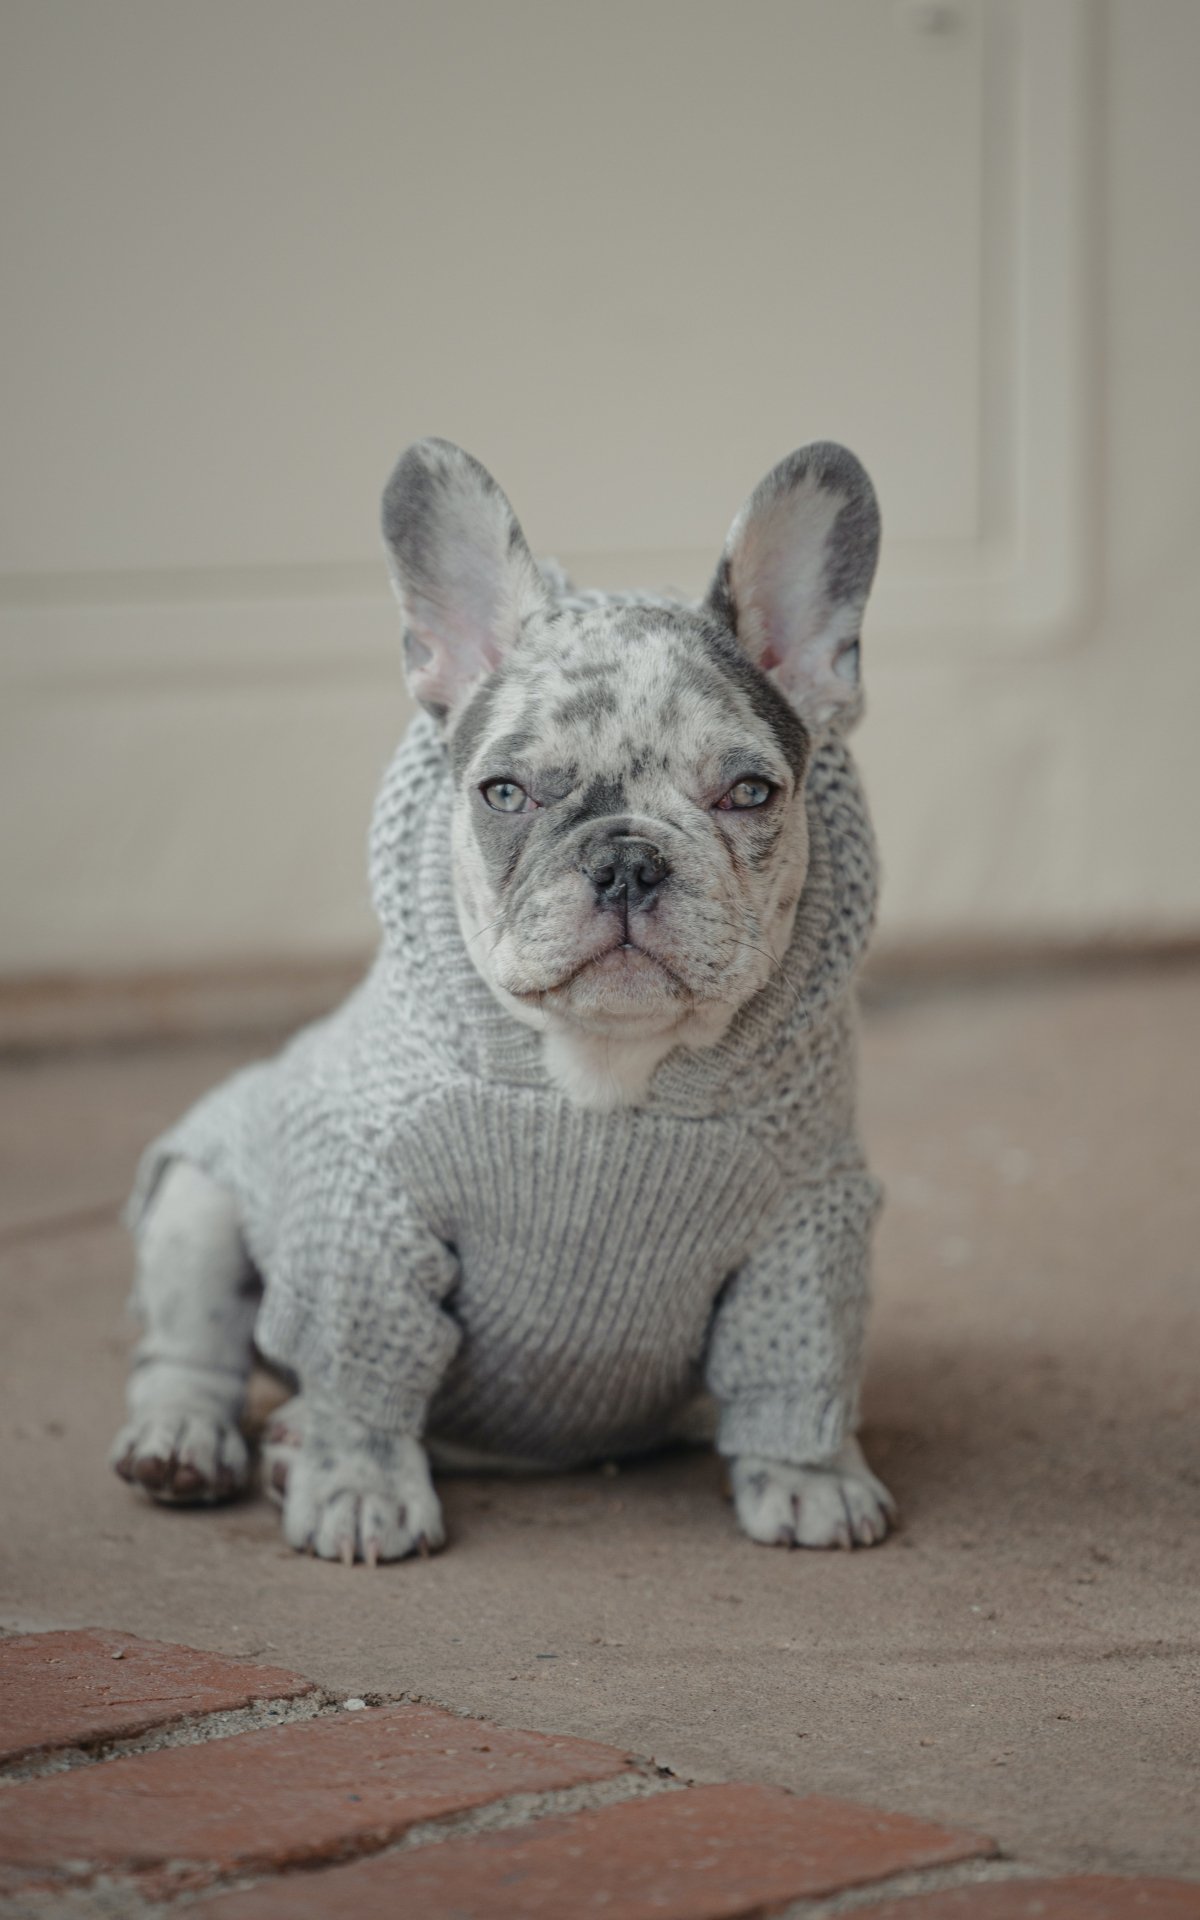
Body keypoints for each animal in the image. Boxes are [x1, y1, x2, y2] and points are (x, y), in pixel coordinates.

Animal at [111, 436, 896, 1562]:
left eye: (748, 793)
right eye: (506, 794)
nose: (626, 861)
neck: (605, 1071)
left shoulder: (805, 1221)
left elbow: (800, 1355)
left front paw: (811, 1473)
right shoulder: (369, 1215)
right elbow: (360, 1365)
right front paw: (360, 1483)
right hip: (198, 1205)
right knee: (192, 1349)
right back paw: (193, 1439)